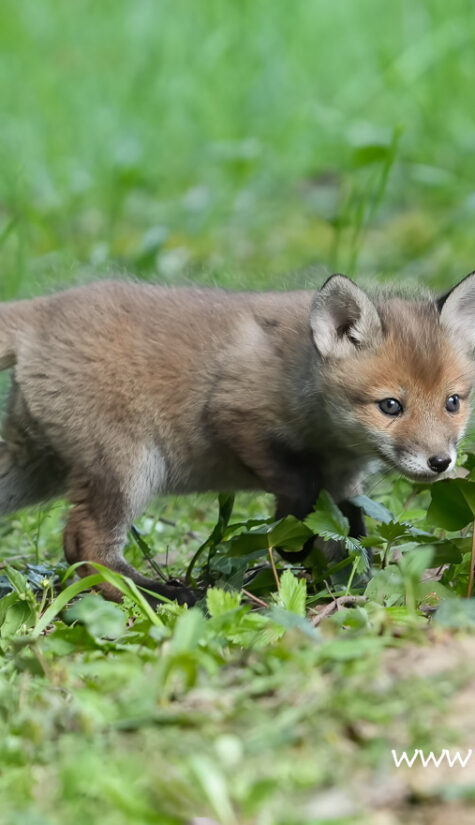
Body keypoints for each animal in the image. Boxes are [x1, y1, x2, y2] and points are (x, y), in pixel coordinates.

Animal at [0, 272, 474, 605]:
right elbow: (300, 488)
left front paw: (349, 574)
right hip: (127, 468)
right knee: (86, 545)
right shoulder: (235, 415)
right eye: (391, 406)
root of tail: (44, 312)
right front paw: (296, 548)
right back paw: (161, 595)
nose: (440, 462)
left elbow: (350, 528)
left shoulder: (344, 478)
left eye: (453, 402)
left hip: (33, 469)